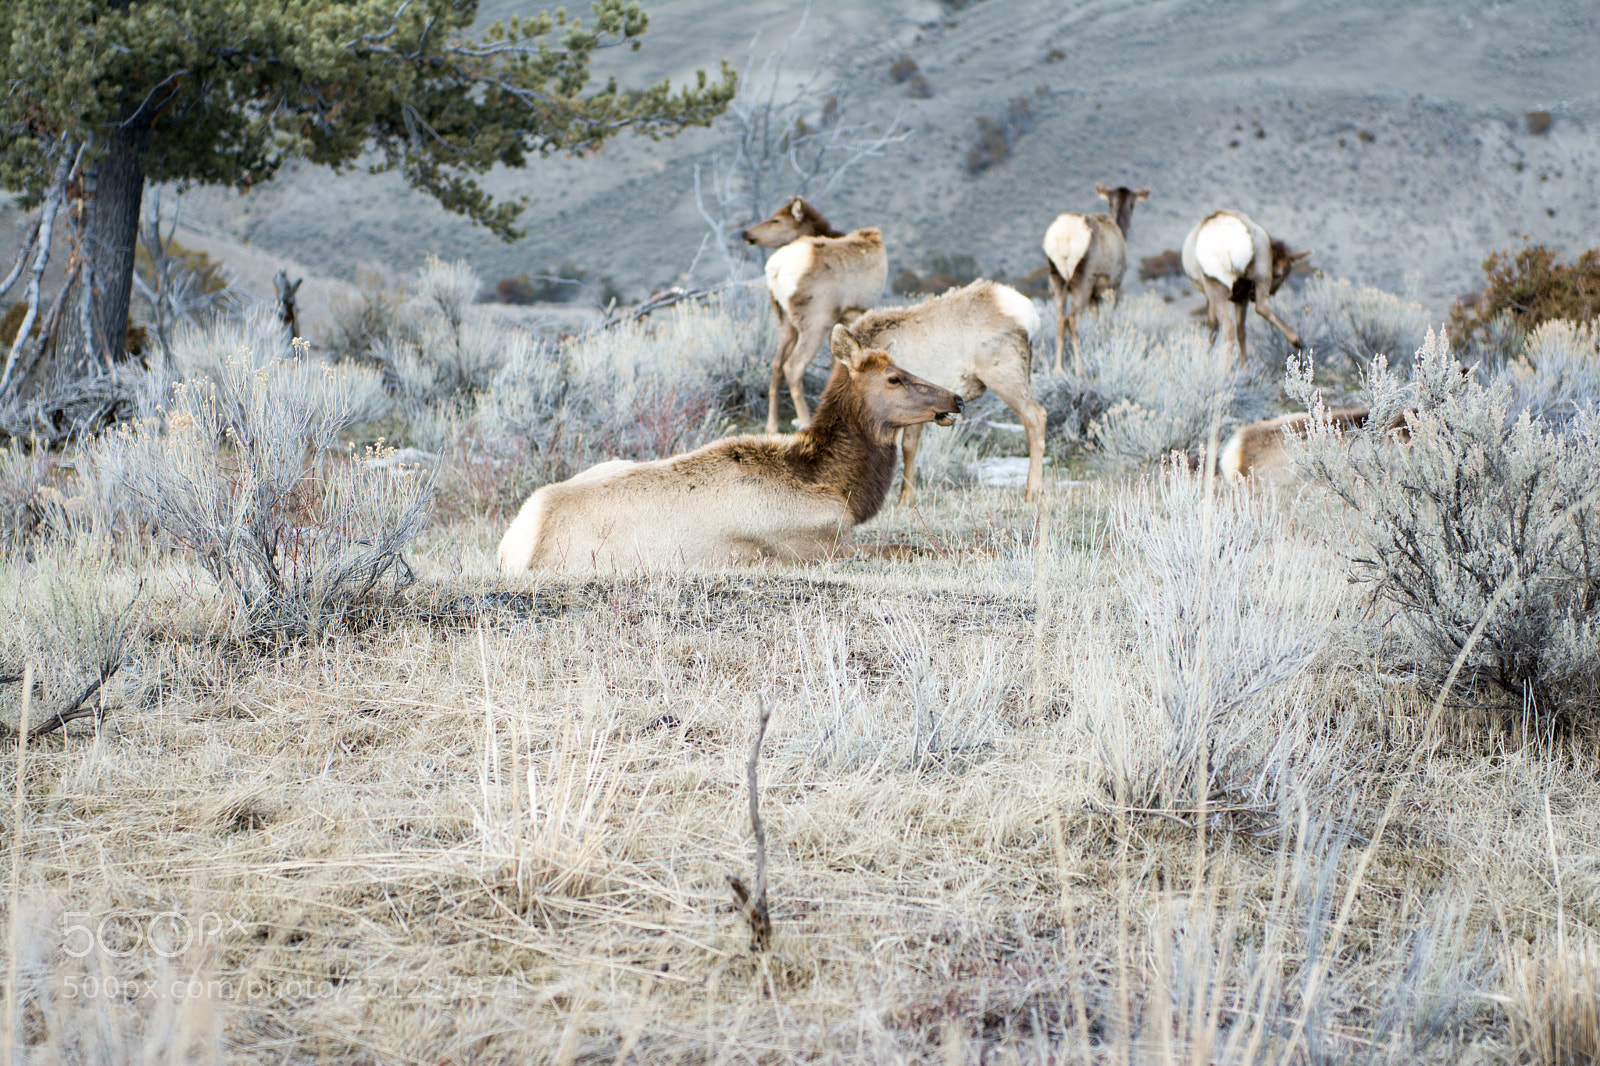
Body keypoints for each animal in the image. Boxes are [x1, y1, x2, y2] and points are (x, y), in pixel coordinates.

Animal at [496, 326, 964, 573]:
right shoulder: (820, 547)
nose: (956, 399)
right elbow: (922, 549)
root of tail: (515, 543)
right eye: (894, 378)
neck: (835, 485)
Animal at [743, 197, 888, 434]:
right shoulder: (851, 314)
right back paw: (805, 422)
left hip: (786, 321)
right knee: (793, 366)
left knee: (776, 365)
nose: (745, 233)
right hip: (815, 320)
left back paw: (772, 426)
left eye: (776, 220)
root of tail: (775, 269)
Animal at [848, 280, 1046, 504]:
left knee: (1036, 416)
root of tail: (1030, 317)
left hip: (1005, 375)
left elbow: (908, 447)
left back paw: (1032, 492)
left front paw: (905, 499)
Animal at [1042, 183, 1149, 373]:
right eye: (1132, 204)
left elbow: (1094, 322)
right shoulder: (1113, 285)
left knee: (1060, 320)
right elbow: (1107, 322)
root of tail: (1063, 238)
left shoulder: (1094, 296)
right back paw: (1080, 370)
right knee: (1073, 319)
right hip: (1083, 279)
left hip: (1055, 277)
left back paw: (1057, 369)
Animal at [1182, 210, 1310, 366]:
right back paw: (1297, 340)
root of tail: (1226, 248)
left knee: (1231, 327)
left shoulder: (1218, 296)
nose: (1252, 295)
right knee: (1257, 310)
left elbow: (1217, 328)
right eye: (1285, 272)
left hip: (1219, 288)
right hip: (1256, 275)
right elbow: (1219, 328)